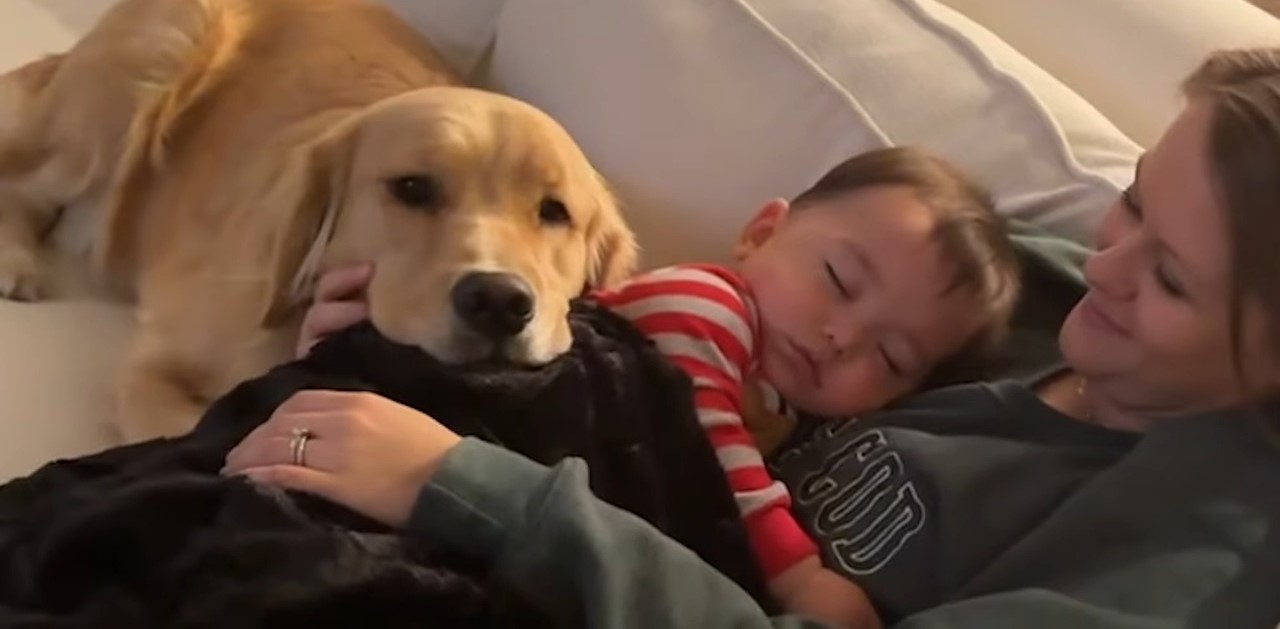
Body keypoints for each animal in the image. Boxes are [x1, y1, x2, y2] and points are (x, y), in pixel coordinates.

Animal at [0, 0, 640, 443]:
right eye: (412, 188)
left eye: (555, 212)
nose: (500, 302)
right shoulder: (150, 370)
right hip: (151, 63)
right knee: (25, 181)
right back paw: (16, 261)